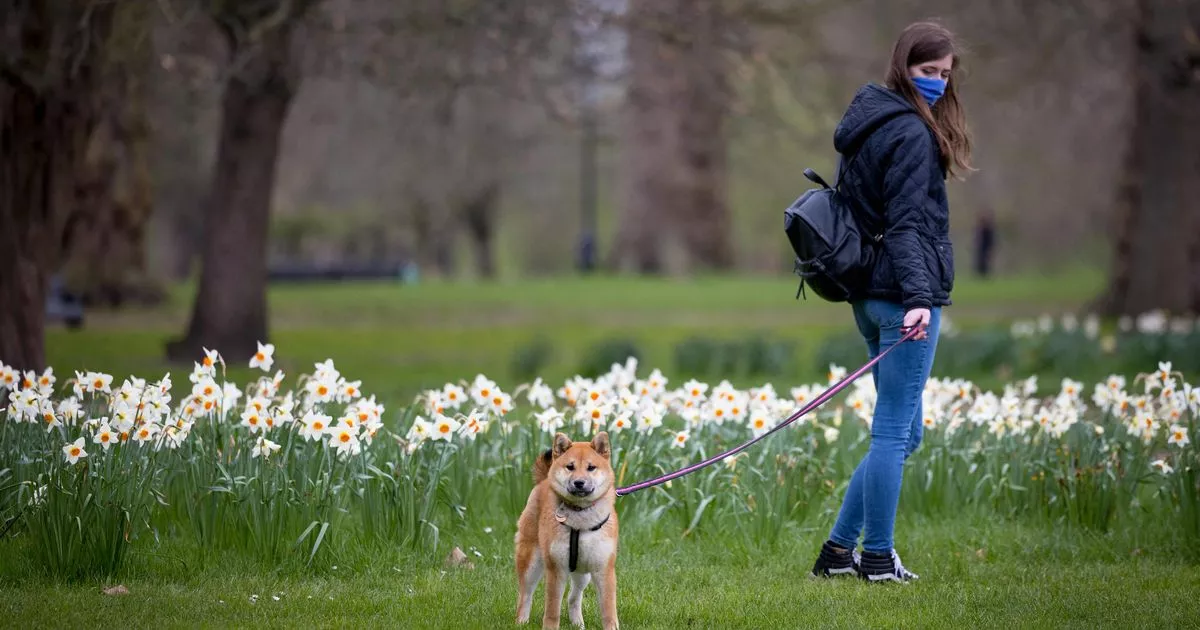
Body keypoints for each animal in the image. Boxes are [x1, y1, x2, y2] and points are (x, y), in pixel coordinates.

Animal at [513, 429, 619, 628]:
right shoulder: (556, 569)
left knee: (573, 597)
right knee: (525, 595)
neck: (581, 519)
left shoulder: (603, 569)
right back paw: (521, 622)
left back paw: (578, 624)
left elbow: (609, 611)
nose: (579, 482)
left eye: (591, 467)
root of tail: (543, 481)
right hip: (532, 562)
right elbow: (552, 610)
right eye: (570, 467)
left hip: (582, 573)